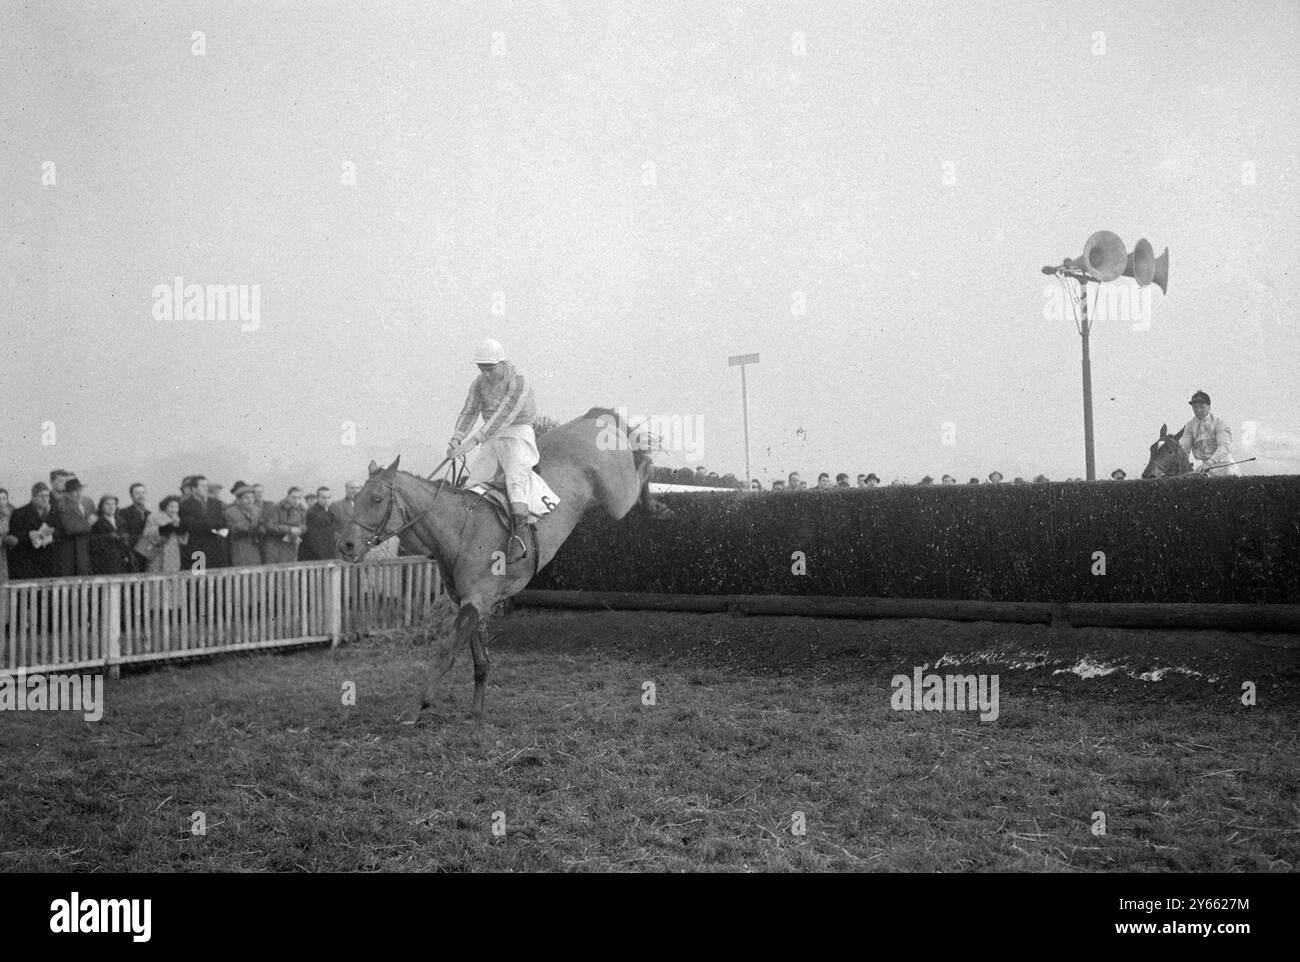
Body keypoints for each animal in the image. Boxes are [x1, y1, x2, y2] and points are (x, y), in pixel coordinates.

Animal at [335, 405, 660, 722]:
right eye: (356, 497)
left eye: (377, 499)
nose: (346, 544)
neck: (460, 528)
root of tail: (592, 419)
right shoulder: (473, 602)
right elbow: (480, 658)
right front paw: (477, 708)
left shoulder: (476, 600)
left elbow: (446, 653)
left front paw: (416, 706)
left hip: (617, 497)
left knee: (641, 470)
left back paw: (653, 494)